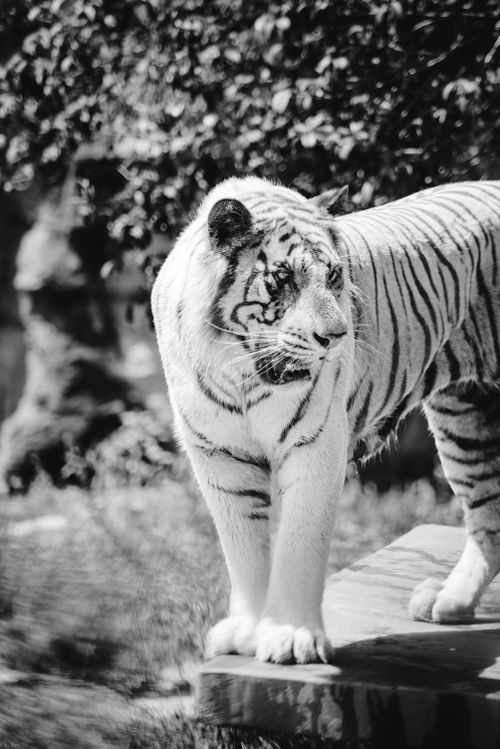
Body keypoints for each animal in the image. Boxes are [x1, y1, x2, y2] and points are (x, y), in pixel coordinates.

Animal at [152, 176, 500, 665]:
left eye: (333, 276)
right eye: (284, 279)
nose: (335, 337)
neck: (242, 374)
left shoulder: (315, 446)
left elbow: (300, 542)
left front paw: (292, 637)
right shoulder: (219, 455)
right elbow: (242, 546)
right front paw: (246, 630)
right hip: (465, 416)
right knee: (490, 515)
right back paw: (449, 601)